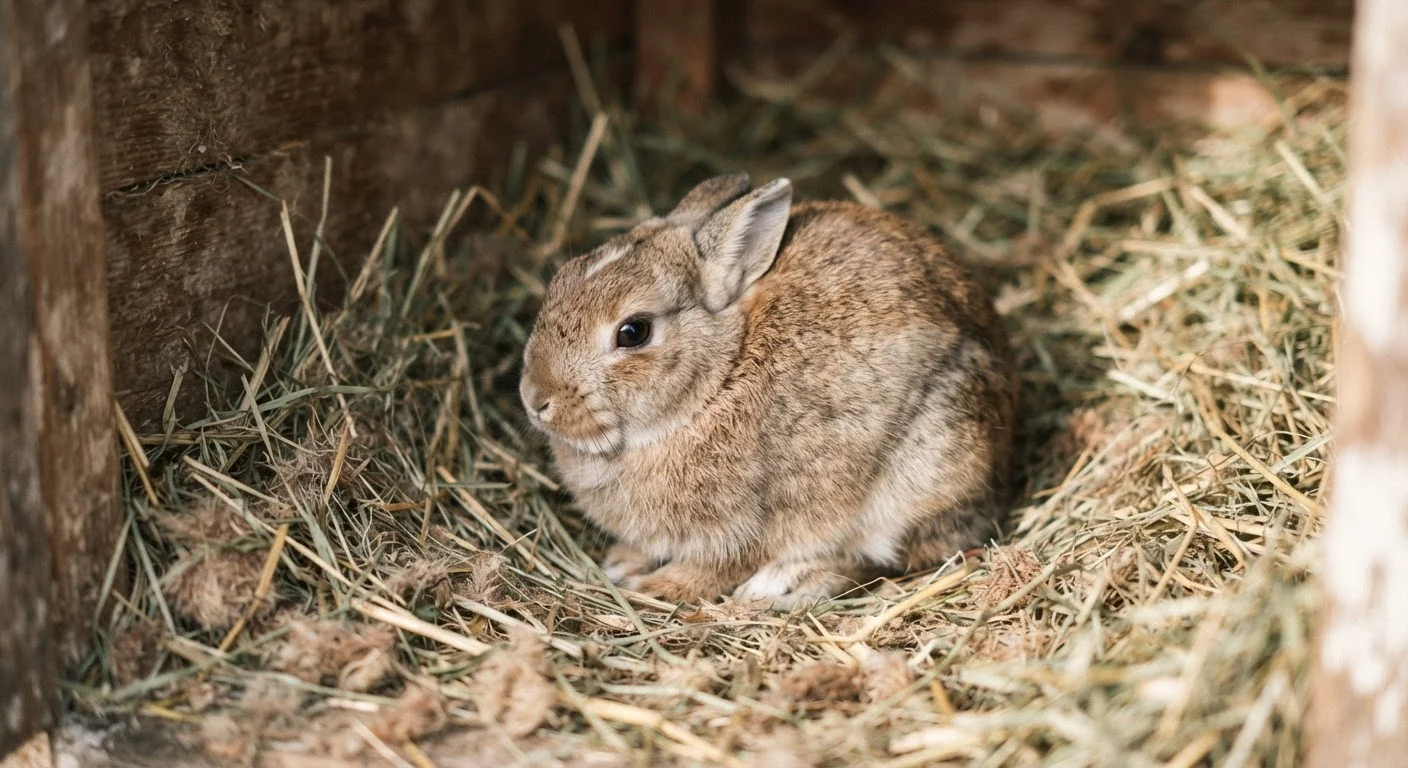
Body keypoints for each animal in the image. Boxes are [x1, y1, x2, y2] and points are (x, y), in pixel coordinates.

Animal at [519, 173, 1018, 609]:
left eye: (633, 331)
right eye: (561, 278)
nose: (535, 399)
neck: (719, 380)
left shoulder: (743, 526)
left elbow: (716, 568)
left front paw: (658, 588)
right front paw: (624, 563)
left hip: (922, 473)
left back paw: (781, 585)